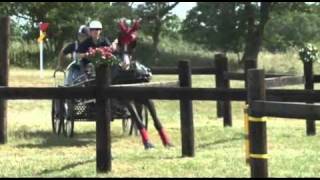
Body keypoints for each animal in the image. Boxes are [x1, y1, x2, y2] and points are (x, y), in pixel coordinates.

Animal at [111, 18, 174, 148]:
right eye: (119, 41)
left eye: (133, 42)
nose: (124, 64)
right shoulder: (127, 100)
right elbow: (138, 120)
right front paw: (148, 143)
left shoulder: (146, 97)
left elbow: (156, 120)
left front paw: (167, 142)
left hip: (138, 102)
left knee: (138, 115)